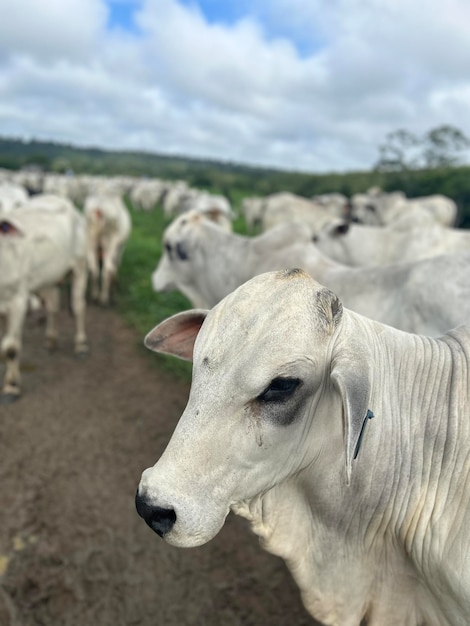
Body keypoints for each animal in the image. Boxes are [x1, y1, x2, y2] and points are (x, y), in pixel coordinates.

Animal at [0, 193, 88, 402]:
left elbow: (10, 348)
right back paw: (50, 340)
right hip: (48, 277)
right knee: (52, 307)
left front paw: (11, 386)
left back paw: (81, 345)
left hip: (80, 265)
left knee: (78, 306)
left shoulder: (17, 300)